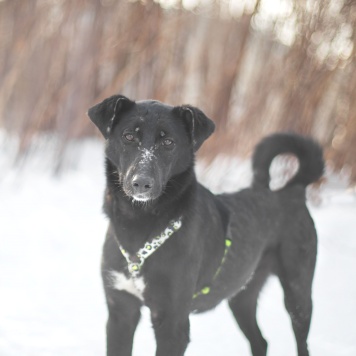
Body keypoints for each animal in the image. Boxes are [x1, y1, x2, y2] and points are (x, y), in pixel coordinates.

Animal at [87, 95, 324, 356]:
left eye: (168, 142)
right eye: (129, 136)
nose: (141, 183)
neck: (139, 226)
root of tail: (293, 190)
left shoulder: (173, 322)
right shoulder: (121, 311)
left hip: (298, 292)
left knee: (300, 340)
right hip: (241, 295)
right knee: (260, 341)